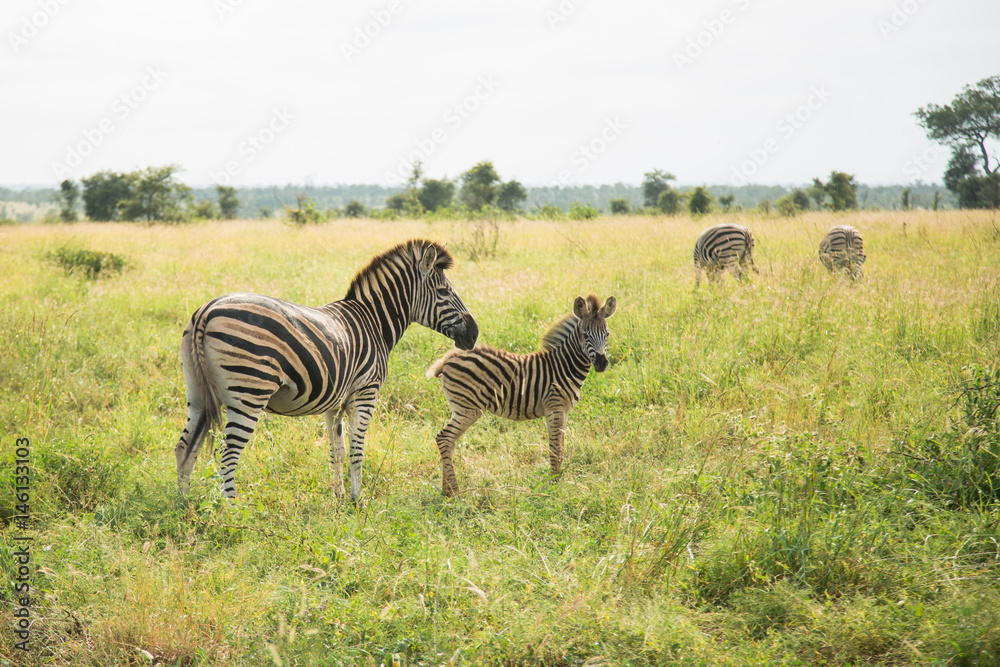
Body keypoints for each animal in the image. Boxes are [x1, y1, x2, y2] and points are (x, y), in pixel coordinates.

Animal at [173, 239, 479, 502]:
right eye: (444, 292)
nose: (474, 334)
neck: (374, 322)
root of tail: (207, 310)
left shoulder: (335, 403)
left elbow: (337, 451)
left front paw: (339, 497)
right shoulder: (365, 392)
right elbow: (357, 449)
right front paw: (357, 500)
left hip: (197, 391)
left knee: (184, 448)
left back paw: (184, 505)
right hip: (249, 391)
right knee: (227, 454)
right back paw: (232, 511)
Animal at [426, 294, 616, 497]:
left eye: (607, 334)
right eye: (585, 335)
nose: (602, 363)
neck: (564, 366)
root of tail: (448, 359)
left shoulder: (564, 411)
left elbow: (561, 447)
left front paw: (557, 481)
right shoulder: (554, 407)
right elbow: (555, 448)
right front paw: (554, 486)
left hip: (460, 408)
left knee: (449, 442)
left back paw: (446, 489)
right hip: (468, 408)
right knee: (445, 439)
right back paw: (453, 491)